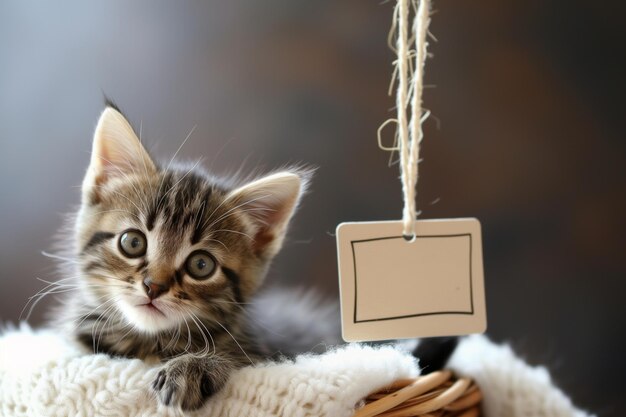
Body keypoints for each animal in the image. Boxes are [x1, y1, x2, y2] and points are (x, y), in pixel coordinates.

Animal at [53, 105, 314, 410]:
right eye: (132, 242)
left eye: (201, 265)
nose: (154, 287)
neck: (150, 345)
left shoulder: (268, 353)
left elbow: (241, 357)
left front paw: (194, 366)